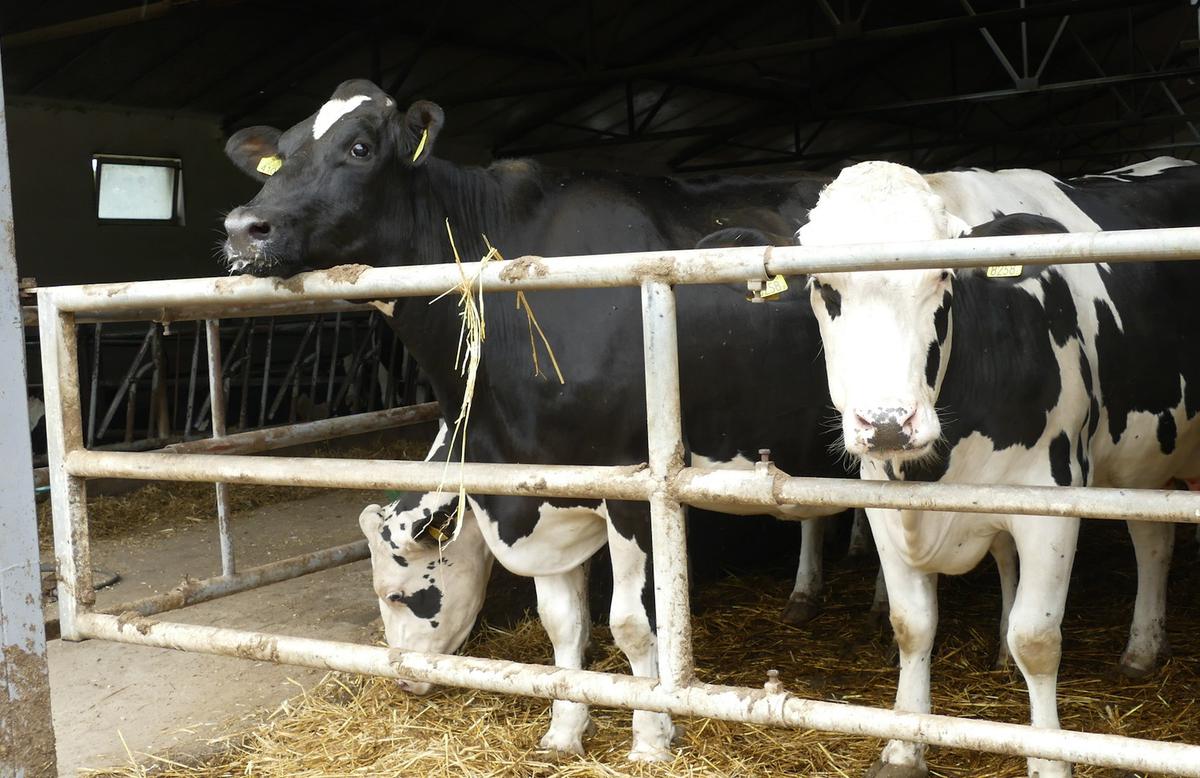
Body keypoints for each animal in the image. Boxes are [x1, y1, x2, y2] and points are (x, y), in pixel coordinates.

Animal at [223, 77, 854, 758]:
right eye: (280, 153)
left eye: (360, 147)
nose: (242, 228)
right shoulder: (535, 490)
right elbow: (562, 624)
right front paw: (564, 731)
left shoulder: (637, 485)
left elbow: (632, 625)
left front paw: (652, 737)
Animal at [796, 159, 1200, 778]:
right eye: (823, 285)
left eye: (943, 276)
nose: (887, 423)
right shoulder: (883, 503)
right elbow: (911, 625)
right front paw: (903, 746)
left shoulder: (1051, 498)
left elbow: (1035, 638)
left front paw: (1049, 759)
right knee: (1152, 538)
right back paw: (1141, 648)